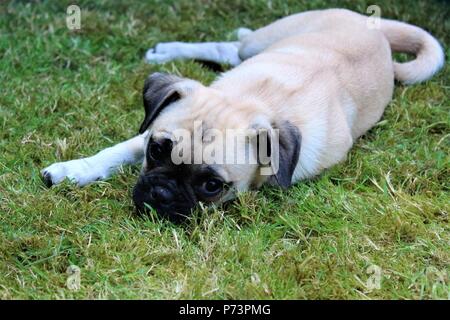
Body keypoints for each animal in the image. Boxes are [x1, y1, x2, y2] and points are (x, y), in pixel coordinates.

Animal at [41, 8, 442, 221]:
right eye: (157, 151)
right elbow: (111, 153)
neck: (254, 102)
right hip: (262, 41)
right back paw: (166, 50)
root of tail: (370, 22)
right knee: (232, 46)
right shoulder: (144, 135)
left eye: (211, 186)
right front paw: (71, 170)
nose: (161, 192)